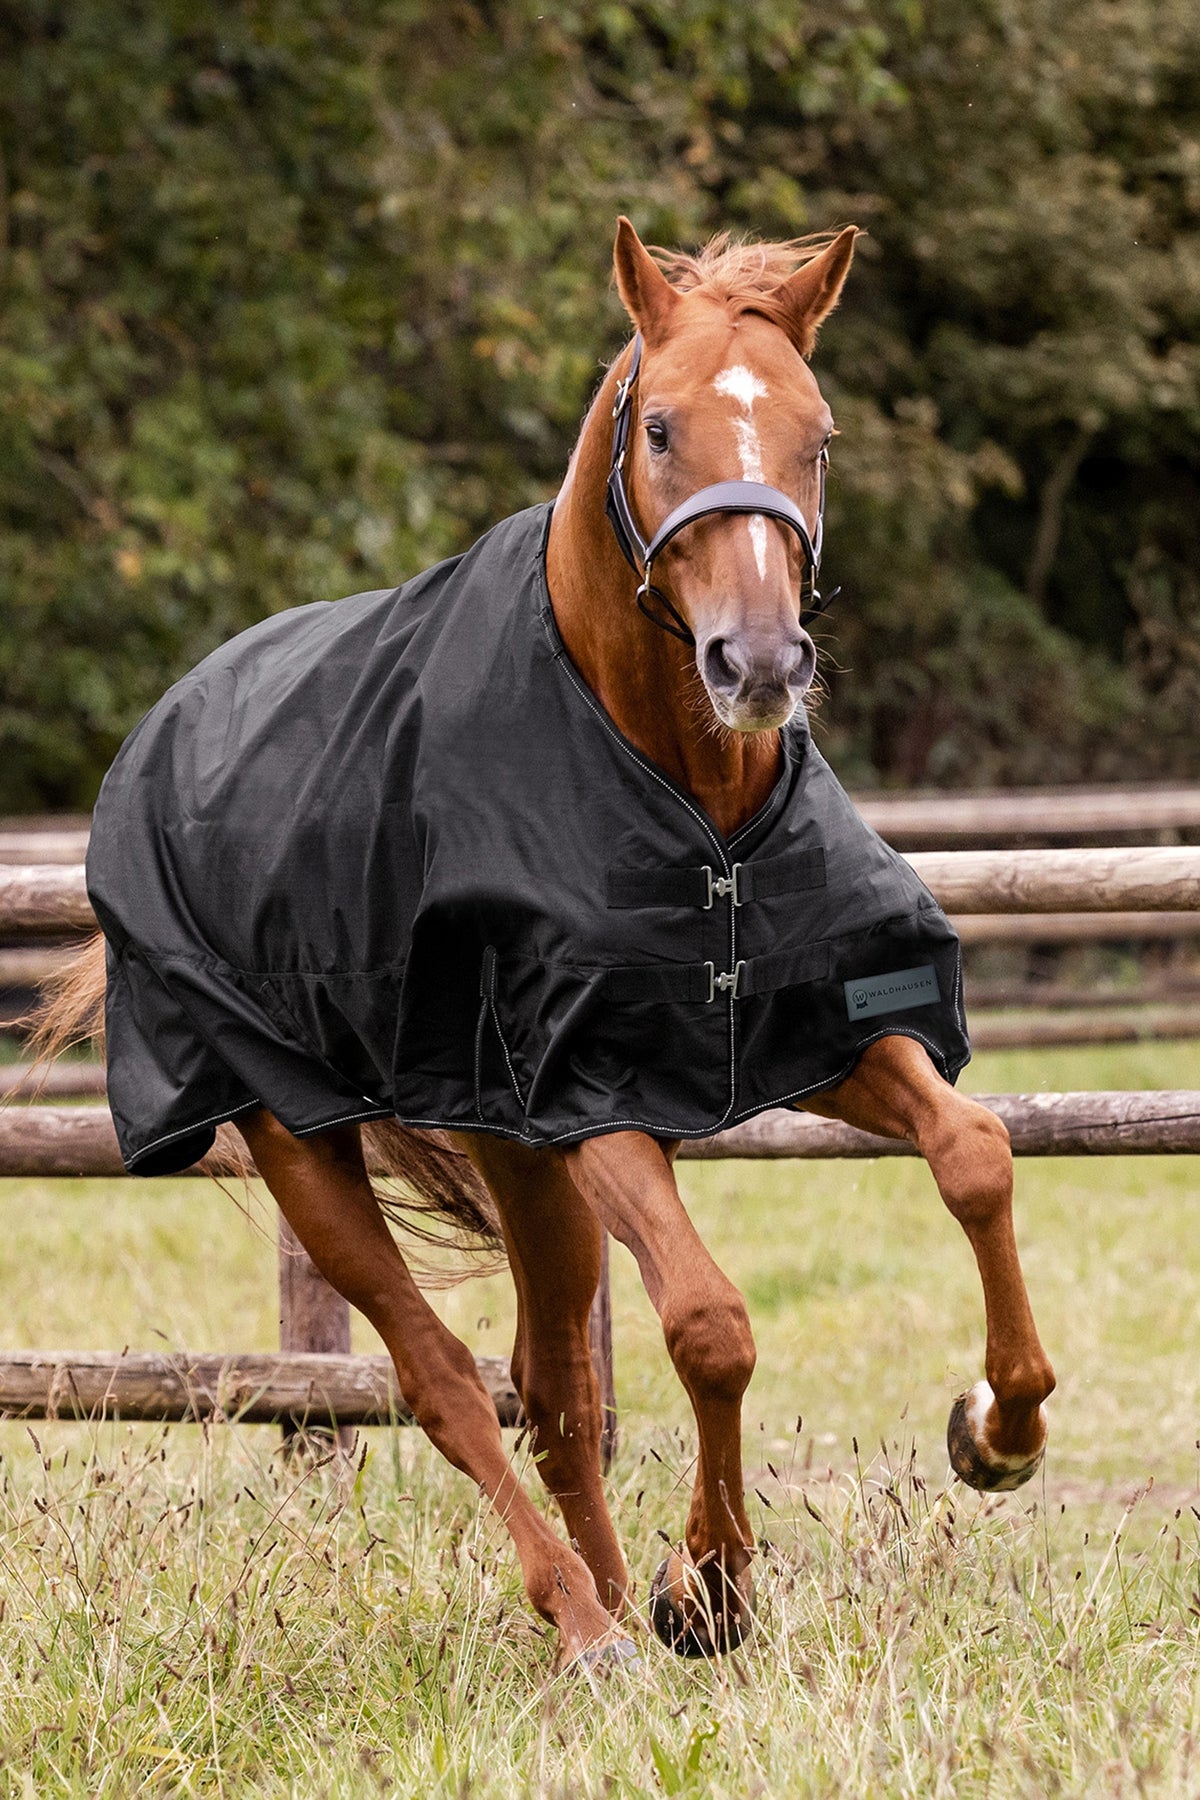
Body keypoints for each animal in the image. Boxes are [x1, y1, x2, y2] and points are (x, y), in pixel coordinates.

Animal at [38, 218, 1055, 1669]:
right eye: (664, 429)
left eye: (819, 435)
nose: (758, 663)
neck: (690, 799)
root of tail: (164, 728)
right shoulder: (593, 1099)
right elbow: (710, 1323)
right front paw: (717, 1586)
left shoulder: (817, 1033)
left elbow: (974, 1154)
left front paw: (997, 1432)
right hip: (310, 1146)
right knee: (447, 1381)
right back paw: (586, 1619)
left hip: (518, 1162)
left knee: (554, 1384)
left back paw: (620, 1610)